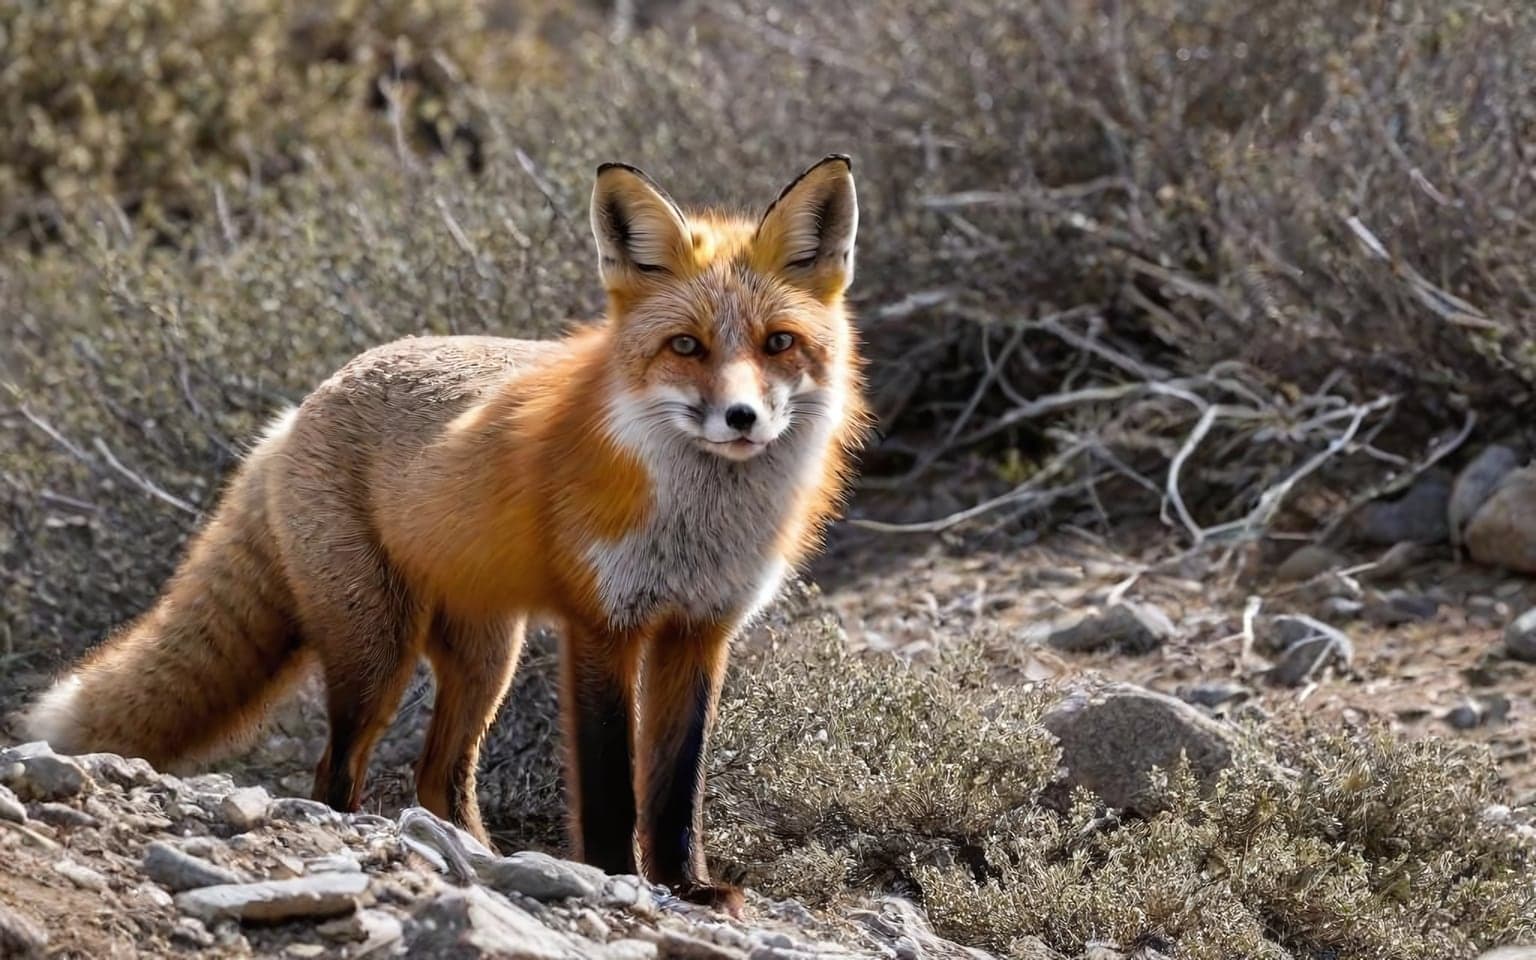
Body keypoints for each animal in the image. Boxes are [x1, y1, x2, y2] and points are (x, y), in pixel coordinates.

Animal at [19, 155, 870, 912]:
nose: (742, 418)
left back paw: (482, 859)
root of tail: (301, 408)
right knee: (335, 770)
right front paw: (614, 877)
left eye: (778, 343)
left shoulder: (699, 631)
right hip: (377, 652)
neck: (697, 523)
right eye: (686, 345)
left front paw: (687, 888)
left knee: (439, 777)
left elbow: (675, 789)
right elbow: (609, 785)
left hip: (486, 660)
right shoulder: (603, 625)